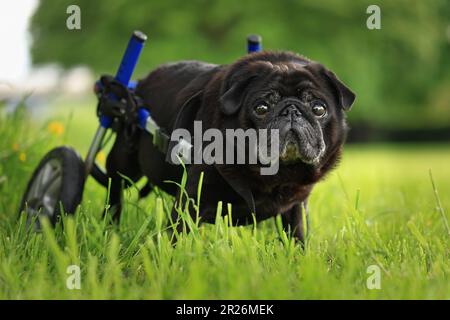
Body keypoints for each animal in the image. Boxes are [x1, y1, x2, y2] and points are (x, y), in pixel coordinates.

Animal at [105, 52, 356, 242]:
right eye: (261, 108)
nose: (291, 110)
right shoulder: (191, 201)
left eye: (318, 109)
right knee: (114, 186)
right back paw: (111, 224)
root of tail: (143, 80)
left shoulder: (295, 207)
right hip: (124, 161)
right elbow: (177, 236)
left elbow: (296, 236)